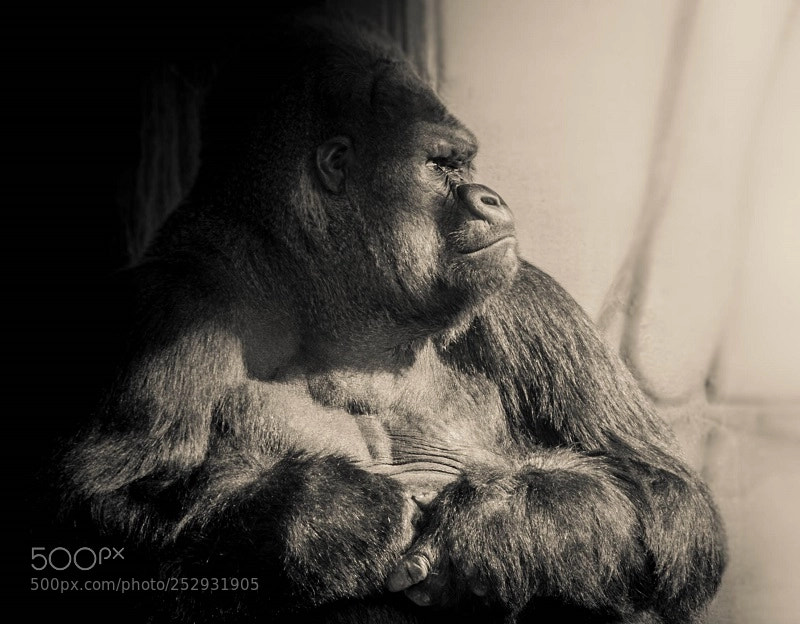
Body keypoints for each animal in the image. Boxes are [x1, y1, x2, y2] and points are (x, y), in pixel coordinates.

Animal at [57, 11, 726, 624]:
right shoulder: (178, 303)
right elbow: (105, 504)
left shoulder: (529, 300)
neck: (334, 299)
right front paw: (331, 513)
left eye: (465, 162)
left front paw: (507, 519)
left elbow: (666, 496)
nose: (491, 197)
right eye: (438, 165)